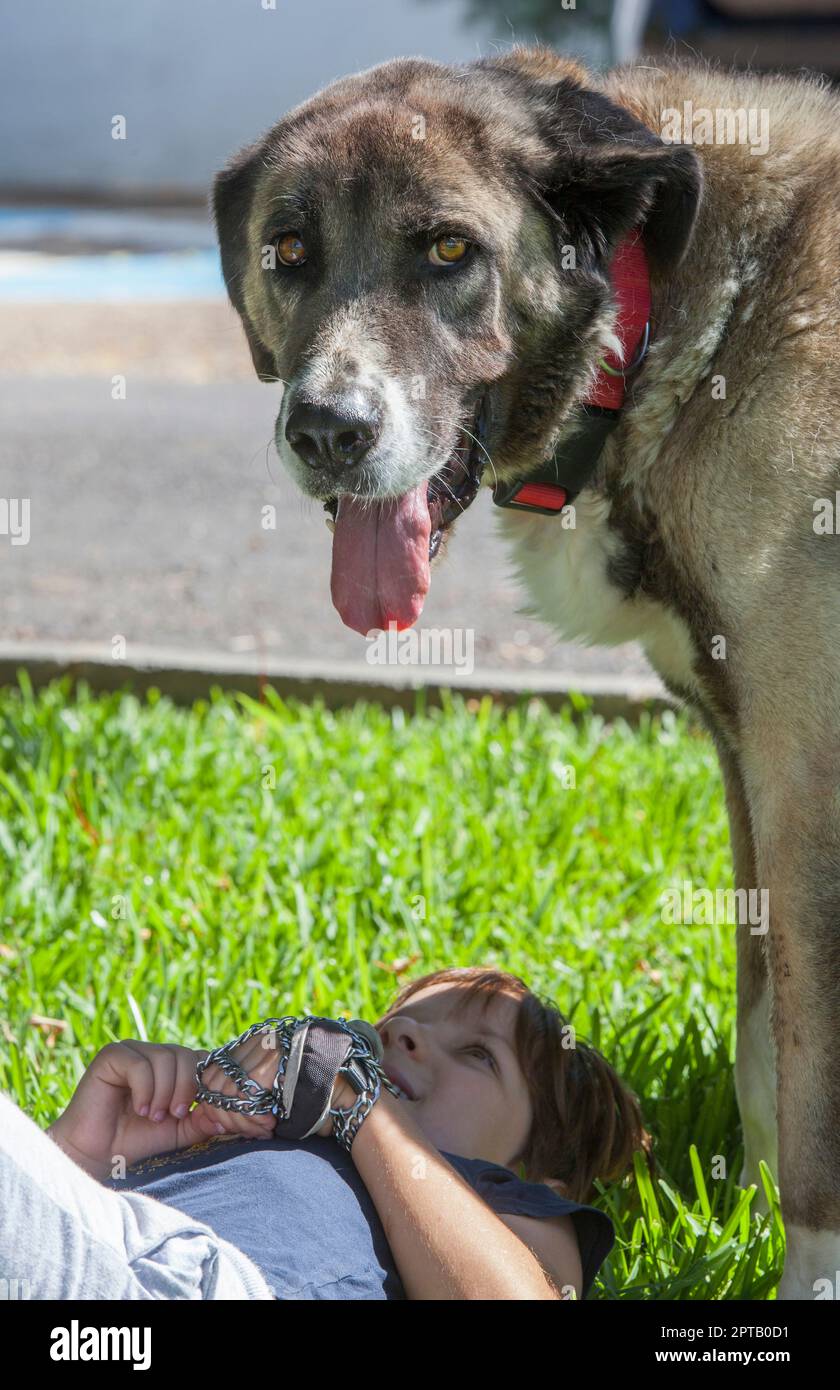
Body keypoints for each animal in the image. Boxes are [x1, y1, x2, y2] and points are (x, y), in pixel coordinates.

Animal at [212, 46, 840, 1301]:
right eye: (288, 252)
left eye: (451, 251)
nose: (326, 430)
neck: (679, 323)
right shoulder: (750, 759)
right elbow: (764, 1044)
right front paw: (739, 1229)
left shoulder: (808, 785)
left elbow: (813, 1106)